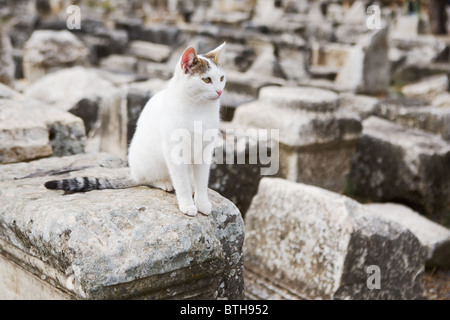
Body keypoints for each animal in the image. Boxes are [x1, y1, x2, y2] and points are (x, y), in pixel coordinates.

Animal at [44, 43, 225, 218]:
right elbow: (181, 183)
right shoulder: (175, 151)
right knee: (146, 179)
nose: (220, 91)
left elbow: (202, 181)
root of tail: (133, 172)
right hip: (149, 161)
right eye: (206, 80)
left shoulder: (205, 151)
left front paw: (201, 202)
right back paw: (164, 182)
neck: (199, 110)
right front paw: (187, 204)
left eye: (222, 78)